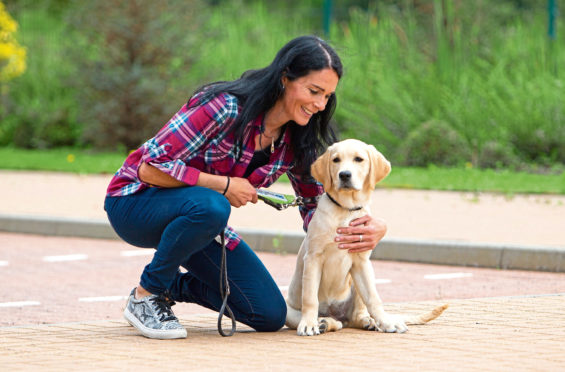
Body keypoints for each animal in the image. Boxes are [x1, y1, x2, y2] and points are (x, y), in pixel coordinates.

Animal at [284, 140, 448, 338]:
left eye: (358, 159)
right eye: (336, 160)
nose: (344, 174)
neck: (346, 210)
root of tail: (337, 314)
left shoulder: (360, 261)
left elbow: (373, 298)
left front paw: (386, 322)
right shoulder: (313, 258)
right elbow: (309, 298)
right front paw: (308, 324)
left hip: (357, 280)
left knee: (356, 316)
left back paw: (370, 322)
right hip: (287, 311)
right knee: (334, 321)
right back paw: (323, 322)